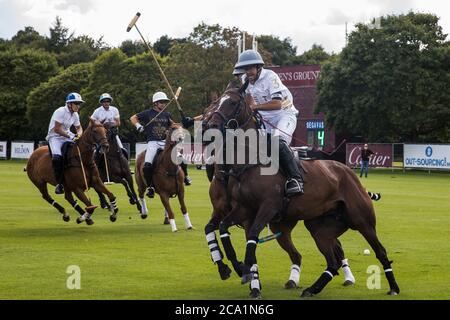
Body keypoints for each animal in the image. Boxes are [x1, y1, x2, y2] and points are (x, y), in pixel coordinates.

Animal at [202, 82, 400, 298]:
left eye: (232, 102)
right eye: (214, 104)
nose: (209, 126)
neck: (249, 162)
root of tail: (349, 173)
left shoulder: (267, 207)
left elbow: (252, 237)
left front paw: (246, 273)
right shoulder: (242, 209)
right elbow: (221, 228)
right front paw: (234, 267)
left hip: (363, 222)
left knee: (379, 251)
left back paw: (393, 287)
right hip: (319, 228)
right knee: (331, 260)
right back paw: (312, 288)